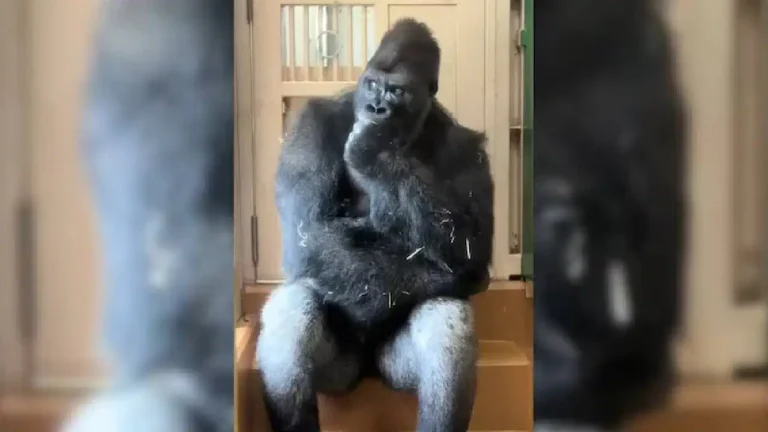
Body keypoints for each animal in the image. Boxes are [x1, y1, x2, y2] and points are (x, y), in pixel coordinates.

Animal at [258, 18, 495, 432]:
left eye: (396, 90)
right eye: (370, 83)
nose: (376, 108)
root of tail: (367, 374)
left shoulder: (468, 147)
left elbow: (471, 247)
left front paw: (375, 153)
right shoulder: (311, 126)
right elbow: (308, 234)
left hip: (389, 371)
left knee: (445, 317)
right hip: (342, 375)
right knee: (293, 307)